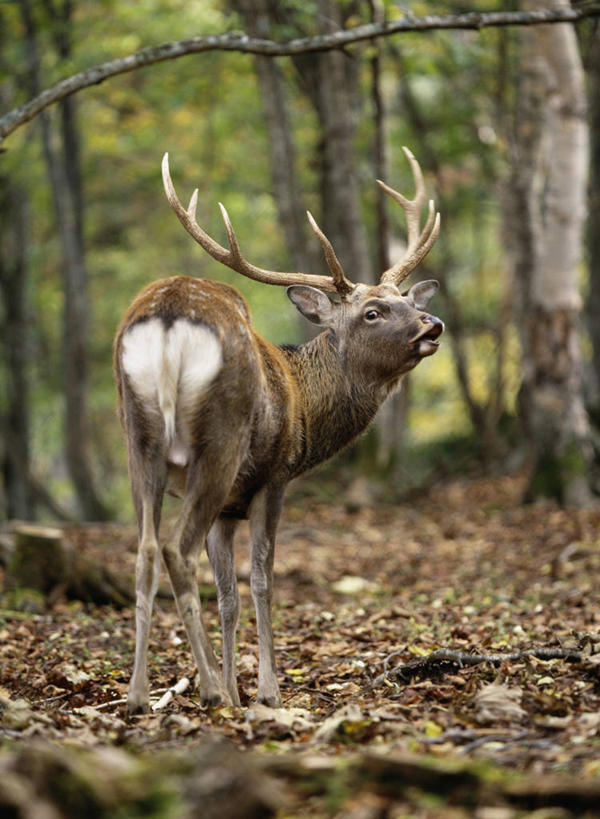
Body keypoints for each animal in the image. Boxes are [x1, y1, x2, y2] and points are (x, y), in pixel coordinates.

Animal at [113, 149, 440, 716]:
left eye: (407, 300)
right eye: (373, 312)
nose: (432, 324)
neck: (305, 406)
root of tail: (170, 317)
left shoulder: (229, 508)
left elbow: (228, 595)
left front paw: (238, 689)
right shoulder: (274, 476)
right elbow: (263, 579)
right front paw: (265, 691)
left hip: (141, 441)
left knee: (147, 552)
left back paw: (139, 696)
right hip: (219, 444)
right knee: (176, 549)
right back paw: (206, 689)